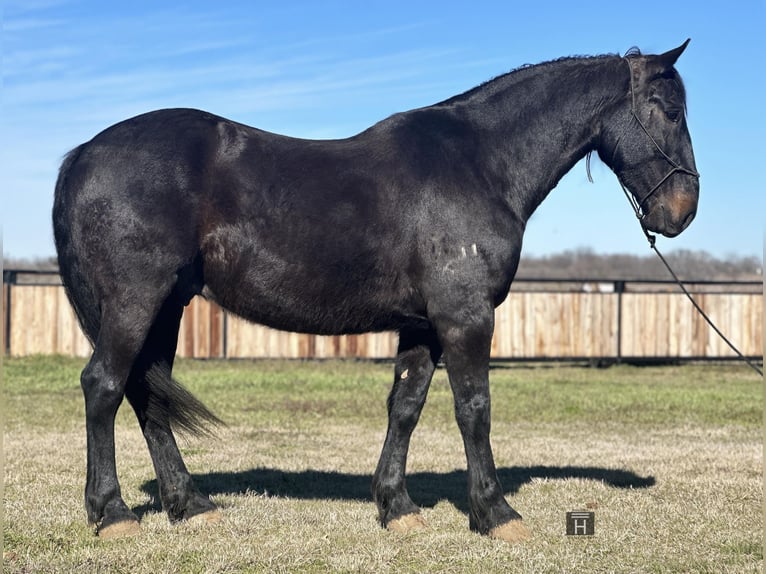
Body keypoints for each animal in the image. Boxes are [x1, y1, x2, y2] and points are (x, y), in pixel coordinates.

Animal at [54, 42, 700, 544]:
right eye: (669, 111)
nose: (682, 210)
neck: (479, 163)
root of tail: (83, 154)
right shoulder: (465, 318)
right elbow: (474, 409)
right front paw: (495, 514)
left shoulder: (421, 324)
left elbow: (405, 406)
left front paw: (397, 506)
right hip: (136, 302)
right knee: (104, 386)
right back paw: (113, 514)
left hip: (166, 308)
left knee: (148, 396)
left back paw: (190, 506)